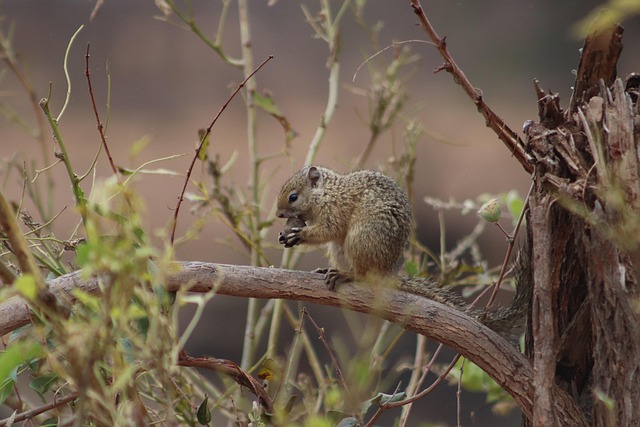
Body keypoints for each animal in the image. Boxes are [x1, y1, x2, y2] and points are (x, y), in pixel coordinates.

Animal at [276, 165, 530, 337]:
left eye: (293, 197)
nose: (278, 214)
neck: (325, 194)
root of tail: (385, 271)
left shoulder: (335, 210)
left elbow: (328, 229)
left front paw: (299, 235)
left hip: (361, 238)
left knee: (363, 274)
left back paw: (346, 274)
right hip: (340, 248)